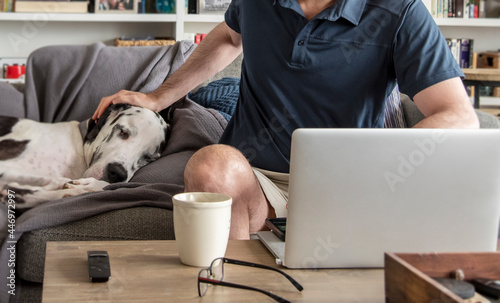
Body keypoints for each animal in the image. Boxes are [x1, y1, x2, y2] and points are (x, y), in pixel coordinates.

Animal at [0, 104, 170, 209]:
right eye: (123, 132)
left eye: (148, 158)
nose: (117, 173)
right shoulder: (5, 166)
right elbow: (56, 179)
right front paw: (81, 186)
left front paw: (86, 185)